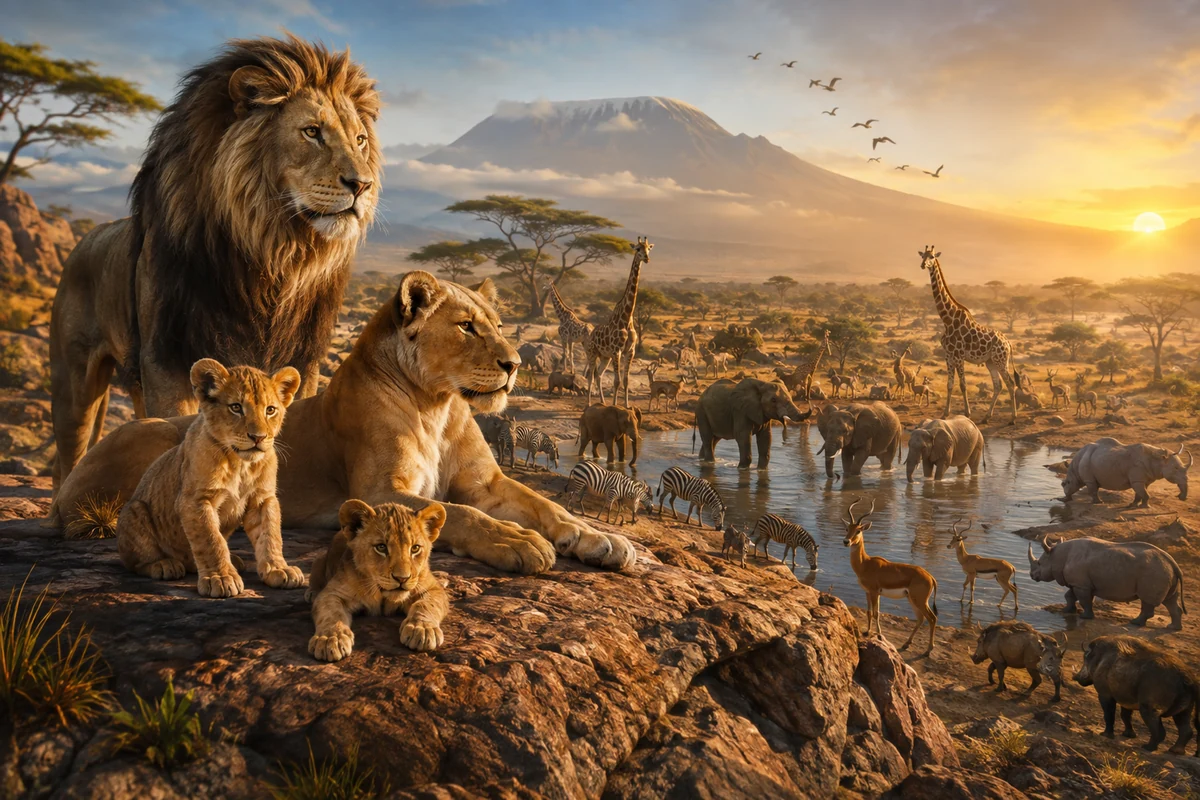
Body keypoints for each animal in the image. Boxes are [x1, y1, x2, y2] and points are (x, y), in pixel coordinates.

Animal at [49, 34, 381, 489]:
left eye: (360, 140)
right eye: (312, 132)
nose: (362, 184)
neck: (272, 253)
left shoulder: (303, 359)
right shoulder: (167, 358)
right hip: (74, 386)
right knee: (70, 455)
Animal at [116, 359, 305, 597]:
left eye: (270, 410)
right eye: (236, 407)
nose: (258, 437)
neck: (241, 464)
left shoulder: (263, 499)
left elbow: (270, 535)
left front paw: (279, 569)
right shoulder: (196, 500)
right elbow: (211, 541)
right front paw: (221, 578)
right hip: (134, 510)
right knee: (135, 561)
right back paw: (165, 564)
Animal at [307, 499, 449, 662]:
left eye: (415, 548)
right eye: (381, 547)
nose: (402, 578)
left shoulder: (433, 589)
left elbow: (426, 604)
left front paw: (423, 629)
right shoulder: (332, 593)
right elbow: (332, 613)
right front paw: (330, 639)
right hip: (319, 559)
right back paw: (311, 593)